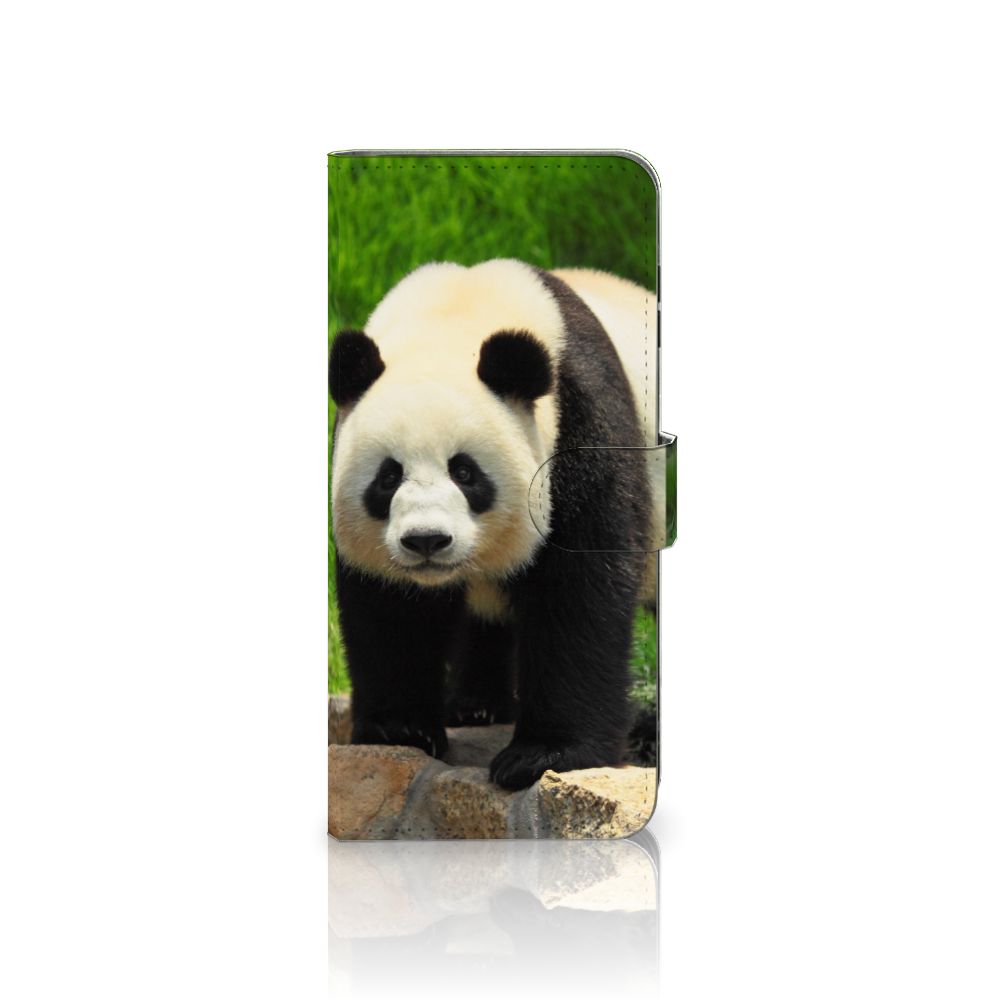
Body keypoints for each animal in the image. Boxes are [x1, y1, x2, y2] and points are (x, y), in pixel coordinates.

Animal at [330, 259, 658, 791]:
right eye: (388, 476)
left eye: (465, 472)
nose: (426, 540)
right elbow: (390, 609)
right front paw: (401, 730)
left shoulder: (581, 424)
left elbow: (579, 591)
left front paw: (543, 755)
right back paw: (476, 706)